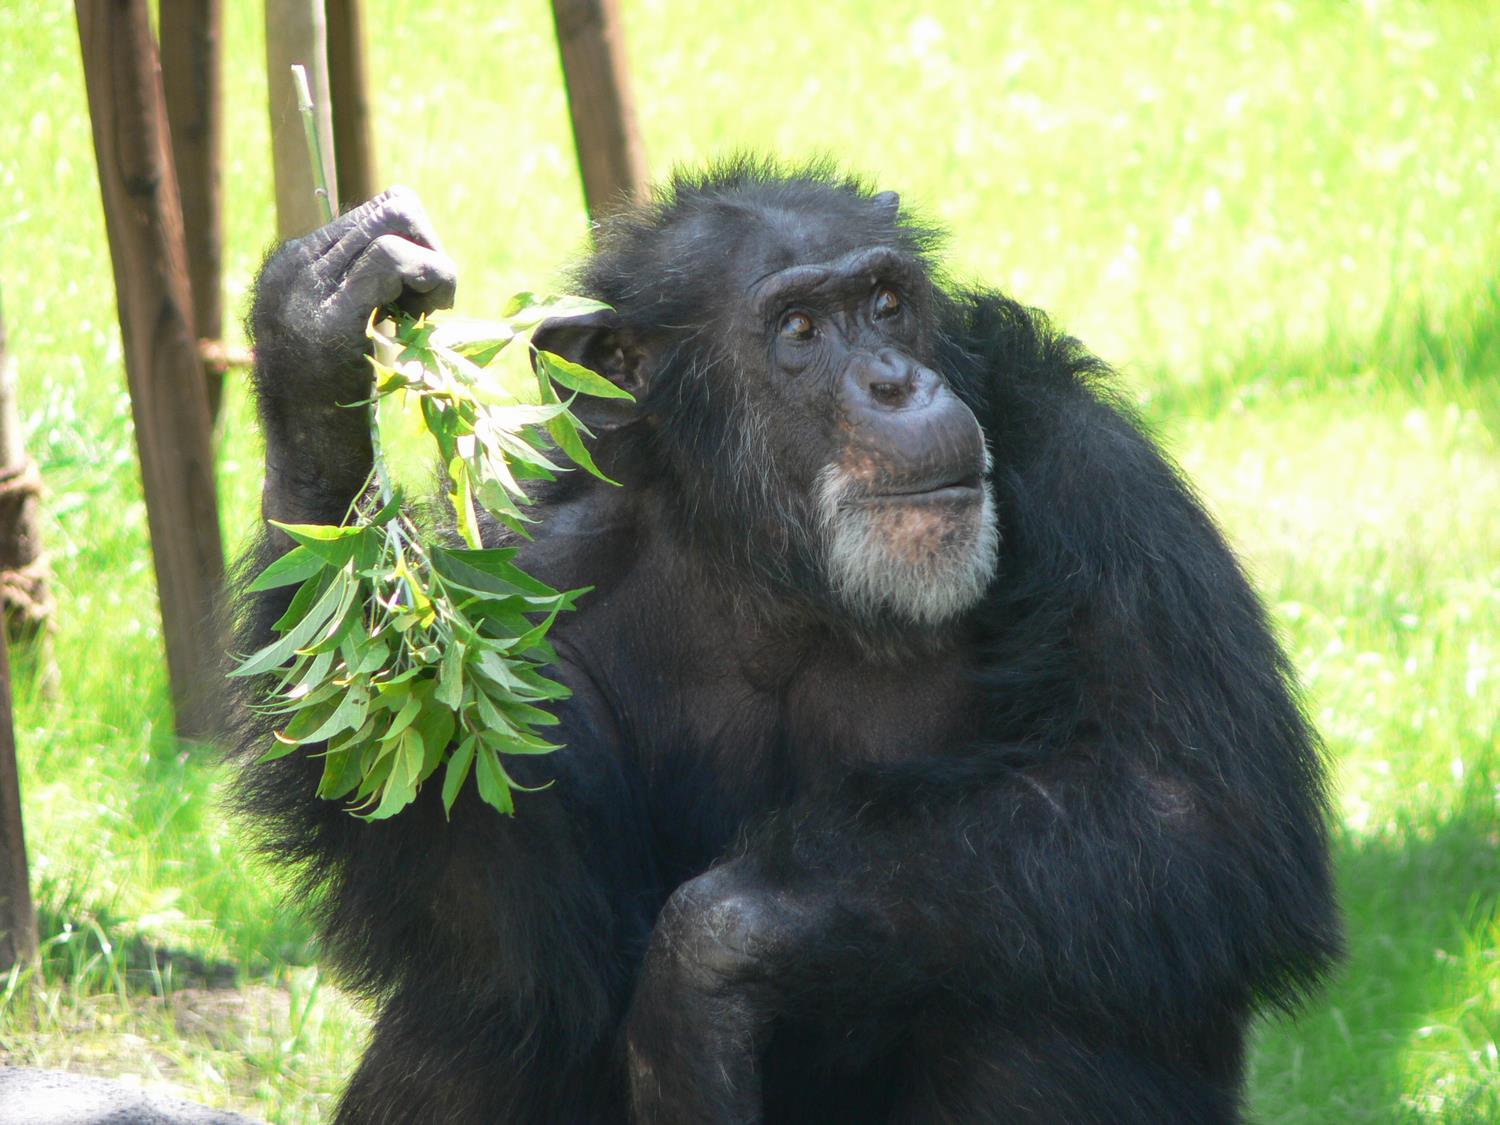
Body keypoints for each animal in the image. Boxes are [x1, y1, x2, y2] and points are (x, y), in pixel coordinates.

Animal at [231, 160, 1338, 1125]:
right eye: (800, 329)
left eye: (886, 303)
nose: (895, 381)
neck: (778, 578)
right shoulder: (524, 603)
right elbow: (513, 929)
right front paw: (317, 348)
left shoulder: (1089, 472)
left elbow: (1193, 803)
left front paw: (705, 964)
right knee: (478, 1030)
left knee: (1057, 1003)